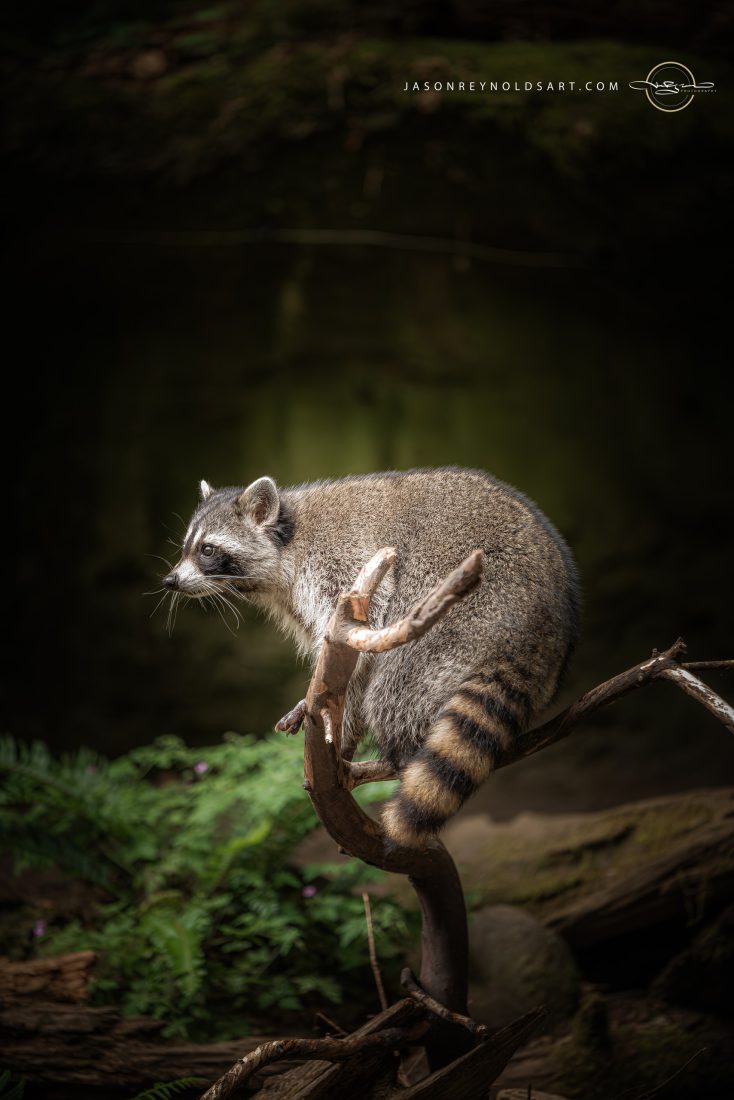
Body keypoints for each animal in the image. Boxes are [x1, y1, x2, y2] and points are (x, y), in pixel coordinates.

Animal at [164, 468, 579, 847]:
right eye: (187, 547)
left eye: (207, 549)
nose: (170, 581)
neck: (287, 541)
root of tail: (539, 634)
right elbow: (352, 672)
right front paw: (340, 726)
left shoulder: (341, 563)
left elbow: (366, 629)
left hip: (464, 610)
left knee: (397, 689)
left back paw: (397, 757)